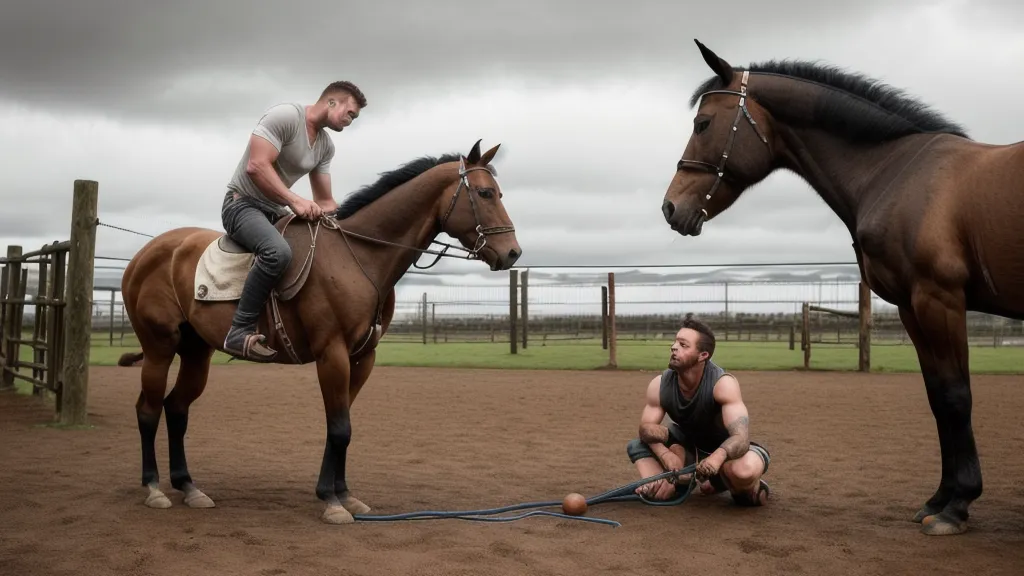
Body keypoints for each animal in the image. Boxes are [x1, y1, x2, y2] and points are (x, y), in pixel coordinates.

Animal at [119, 139, 521, 524]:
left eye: (500, 193)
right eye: (486, 193)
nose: (513, 253)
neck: (358, 255)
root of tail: (146, 254)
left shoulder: (362, 358)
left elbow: (338, 427)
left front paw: (341, 493)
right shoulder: (333, 353)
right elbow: (340, 428)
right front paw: (332, 502)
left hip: (196, 352)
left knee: (176, 408)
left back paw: (188, 487)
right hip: (159, 349)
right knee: (148, 410)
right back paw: (154, 488)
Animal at [661, 40, 1024, 536]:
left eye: (704, 124)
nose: (670, 207)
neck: (896, 171)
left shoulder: (940, 300)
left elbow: (955, 396)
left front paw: (957, 505)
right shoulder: (911, 308)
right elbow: (937, 397)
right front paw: (939, 498)